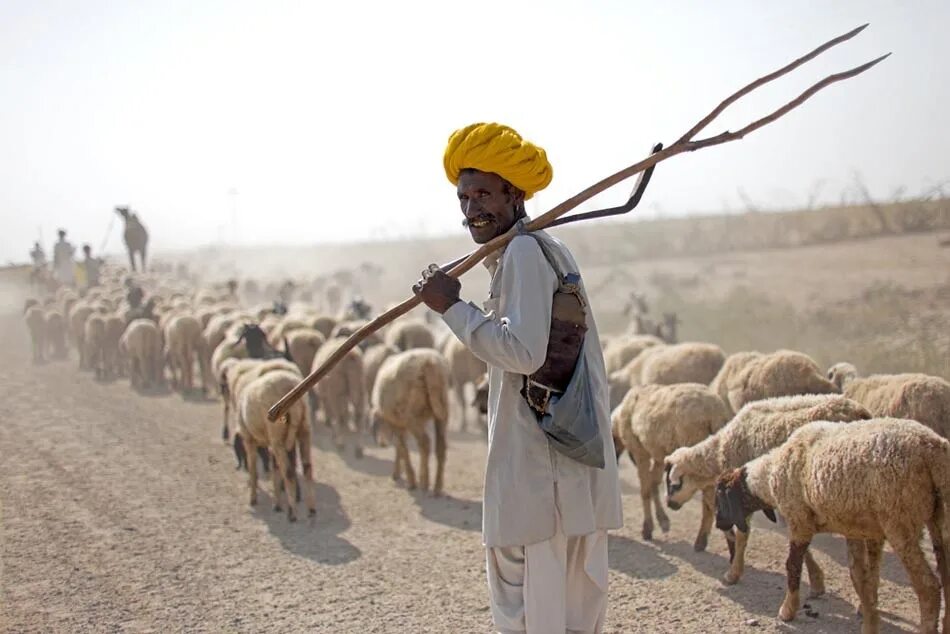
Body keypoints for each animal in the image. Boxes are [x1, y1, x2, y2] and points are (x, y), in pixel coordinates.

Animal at [238, 368, 316, 520]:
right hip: (304, 430)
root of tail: (289, 385)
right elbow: (275, 470)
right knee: (307, 469)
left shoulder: (249, 439)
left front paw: (253, 498)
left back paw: (292, 513)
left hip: (277, 436)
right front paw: (277, 504)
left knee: (289, 473)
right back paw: (311, 509)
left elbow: (253, 469)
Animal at [370, 348, 452, 492]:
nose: (382, 444)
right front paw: (397, 473)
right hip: (442, 407)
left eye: (376, 425)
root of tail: (429, 363)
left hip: (412, 414)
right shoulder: (401, 424)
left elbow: (402, 447)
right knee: (441, 446)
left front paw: (410, 480)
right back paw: (437, 487)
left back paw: (424, 482)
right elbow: (399, 447)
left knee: (425, 442)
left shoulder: (397, 423)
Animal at [608, 382, 728, 544]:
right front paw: (662, 521)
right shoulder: (659, 455)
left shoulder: (641, 452)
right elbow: (653, 484)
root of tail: (714, 413)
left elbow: (645, 489)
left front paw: (647, 528)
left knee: (708, 496)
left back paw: (704, 539)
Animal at [664, 392, 872, 584]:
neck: (719, 450)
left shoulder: (743, 494)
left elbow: (743, 535)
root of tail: (860, 411)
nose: (670, 504)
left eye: (673, 484)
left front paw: (733, 574)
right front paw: (816, 580)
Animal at [716, 418, 950, 628]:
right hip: (938, 518)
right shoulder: (861, 530)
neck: (769, 476)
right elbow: (863, 575)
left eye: (720, 497)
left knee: (929, 588)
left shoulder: (799, 520)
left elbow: (792, 565)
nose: (718, 524)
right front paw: (867, 612)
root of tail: (931, 448)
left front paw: (787, 611)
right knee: (945, 579)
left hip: (900, 521)